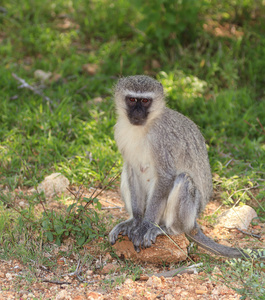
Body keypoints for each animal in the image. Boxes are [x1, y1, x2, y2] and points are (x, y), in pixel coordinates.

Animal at [108, 74, 262, 258]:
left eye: (145, 101)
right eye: (132, 99)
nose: (137, 112)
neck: (144, 127)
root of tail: (194, 223)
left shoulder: (162, 139)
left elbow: (166, 176)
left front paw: (145, 225)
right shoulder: (120, 133)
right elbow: (131, 169)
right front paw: (136, 221)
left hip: (190, 212)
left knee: (183, 180)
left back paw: (168, 229)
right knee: (127, 169)